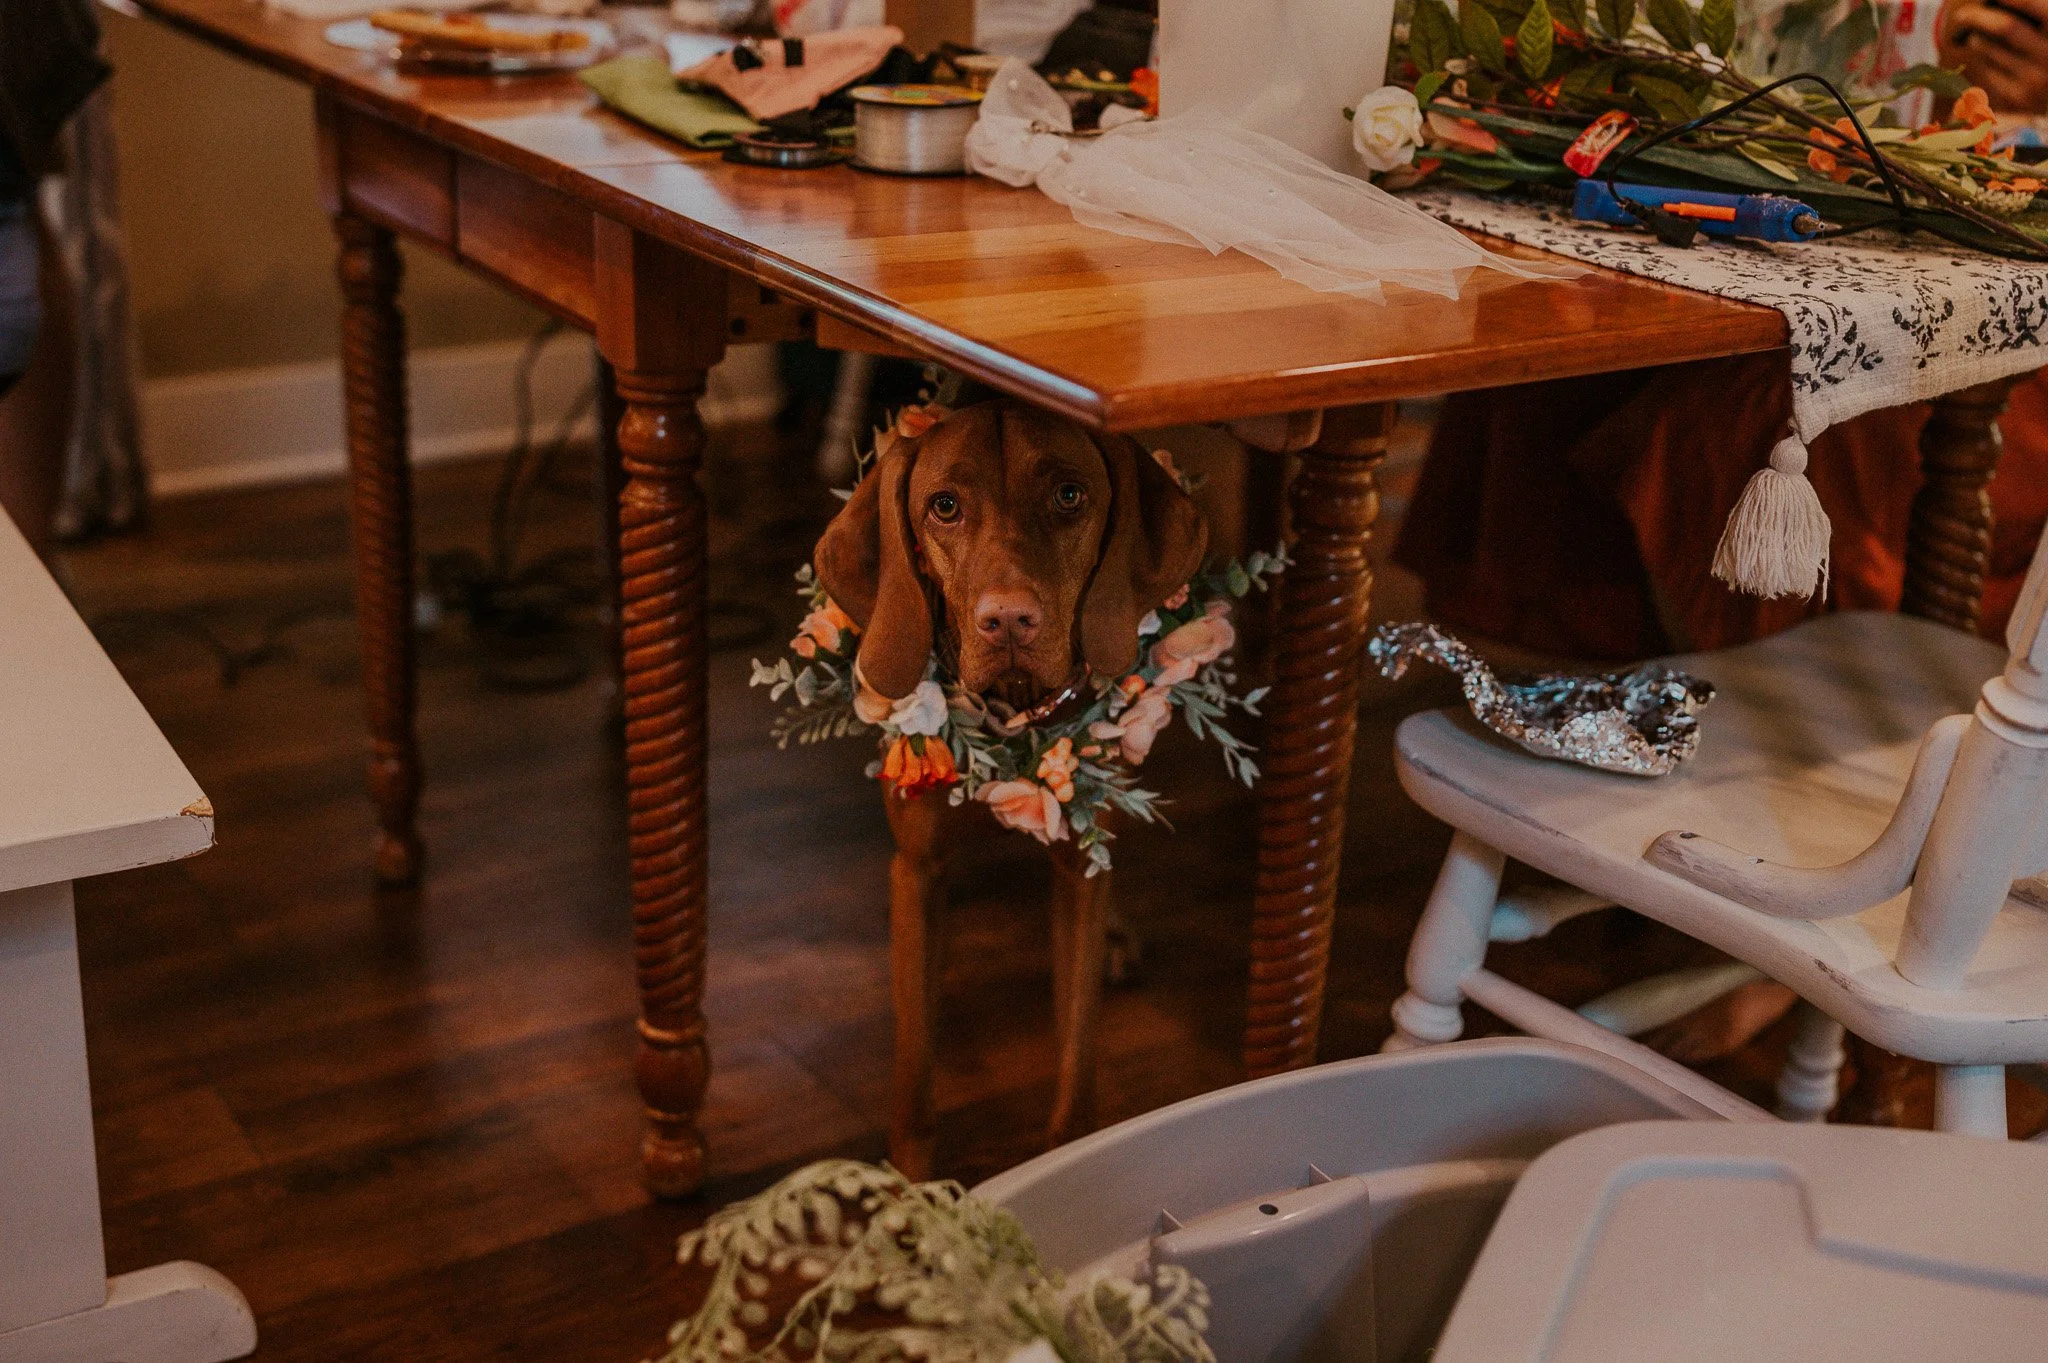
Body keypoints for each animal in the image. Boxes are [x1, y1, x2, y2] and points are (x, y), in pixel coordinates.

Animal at [811, 399, 1196, 1170]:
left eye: (1070, 495)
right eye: (944, 506)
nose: (1009, 620)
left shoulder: (1079, 872)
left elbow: (1077, 1059)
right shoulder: (918, 868)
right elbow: (915, 1070)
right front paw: (910, 1187)